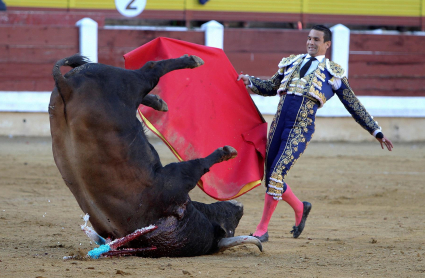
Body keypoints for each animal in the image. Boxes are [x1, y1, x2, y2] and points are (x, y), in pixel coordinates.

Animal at [49, 53, 262, 258]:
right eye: (228, 229)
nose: (240, 208)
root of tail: (66, 87)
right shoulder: (178, 178)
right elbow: (201, 164)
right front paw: (228, 152)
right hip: (127, 82)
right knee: (151, 69)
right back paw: (192, 61)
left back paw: (159, 102)